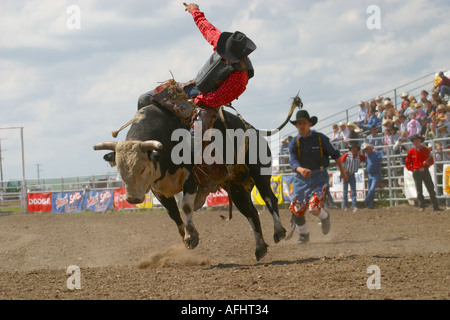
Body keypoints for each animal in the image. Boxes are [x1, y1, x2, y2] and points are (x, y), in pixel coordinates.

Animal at [93, 87, 302, 260]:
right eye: (120, 168)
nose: (132, 198)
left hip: (259, 171)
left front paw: (192, 237)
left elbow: (185, 206)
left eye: (142, 168)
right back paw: (260, 249)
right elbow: (173, 213)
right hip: (236, 186)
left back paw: (278, 232)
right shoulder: (158, 190)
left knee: (269, 198)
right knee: (250, 212)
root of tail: (254, 129)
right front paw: (185, 236)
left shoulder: (190, 178)